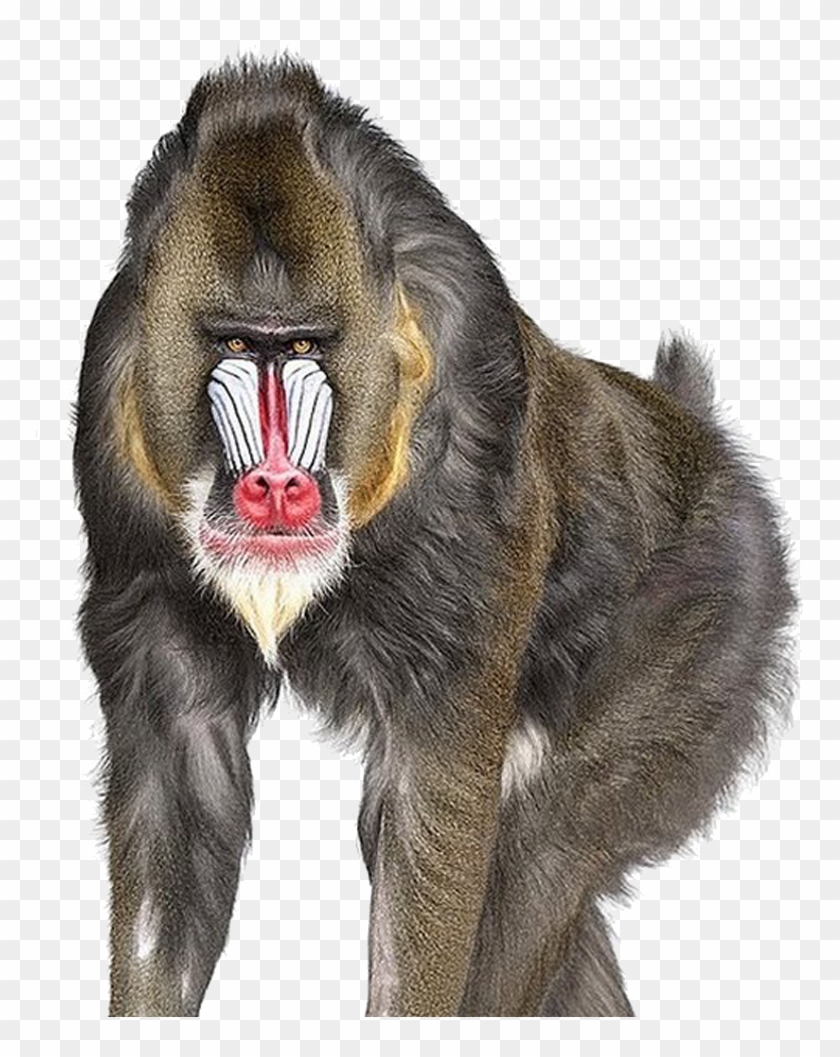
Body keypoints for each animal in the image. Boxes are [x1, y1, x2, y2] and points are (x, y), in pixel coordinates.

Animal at [72, 56, 797, 1018]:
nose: (276, 488)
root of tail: (700, 431)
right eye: (233, 344)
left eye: (302, 348)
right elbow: (177, 795)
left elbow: (434, 809)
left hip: (698, 637)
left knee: (539, 845)